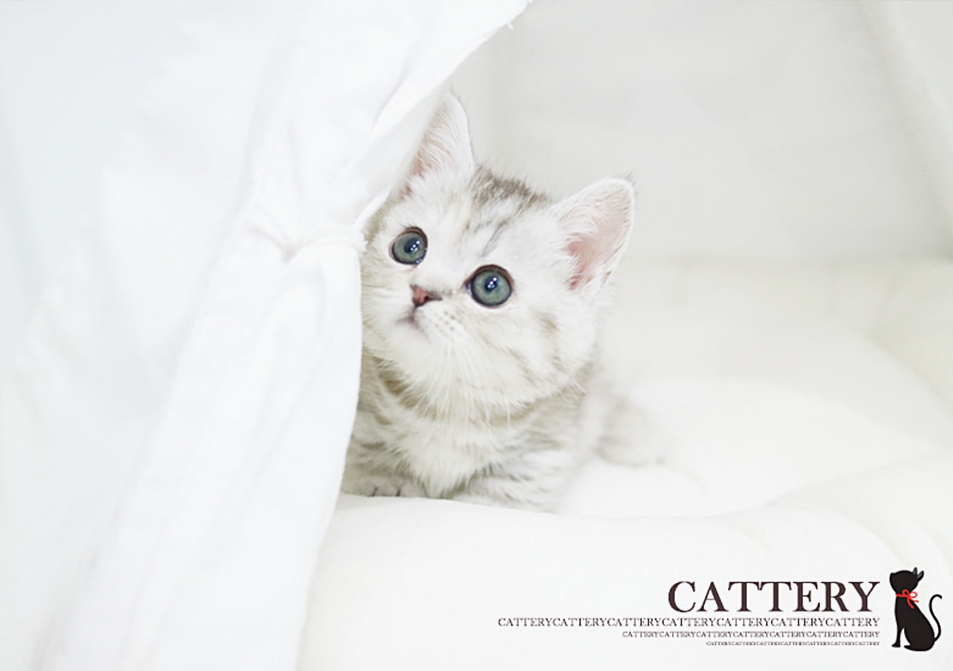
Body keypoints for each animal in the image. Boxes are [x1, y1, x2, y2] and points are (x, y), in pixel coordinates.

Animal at [340, 93, 640, 510]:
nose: (421, 292)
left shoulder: (537, 461)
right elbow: (370, 461)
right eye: (409, 246)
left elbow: (488, 501)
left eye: (491, 286)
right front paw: (387, 485)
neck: (446, 406)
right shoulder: (359, 425)